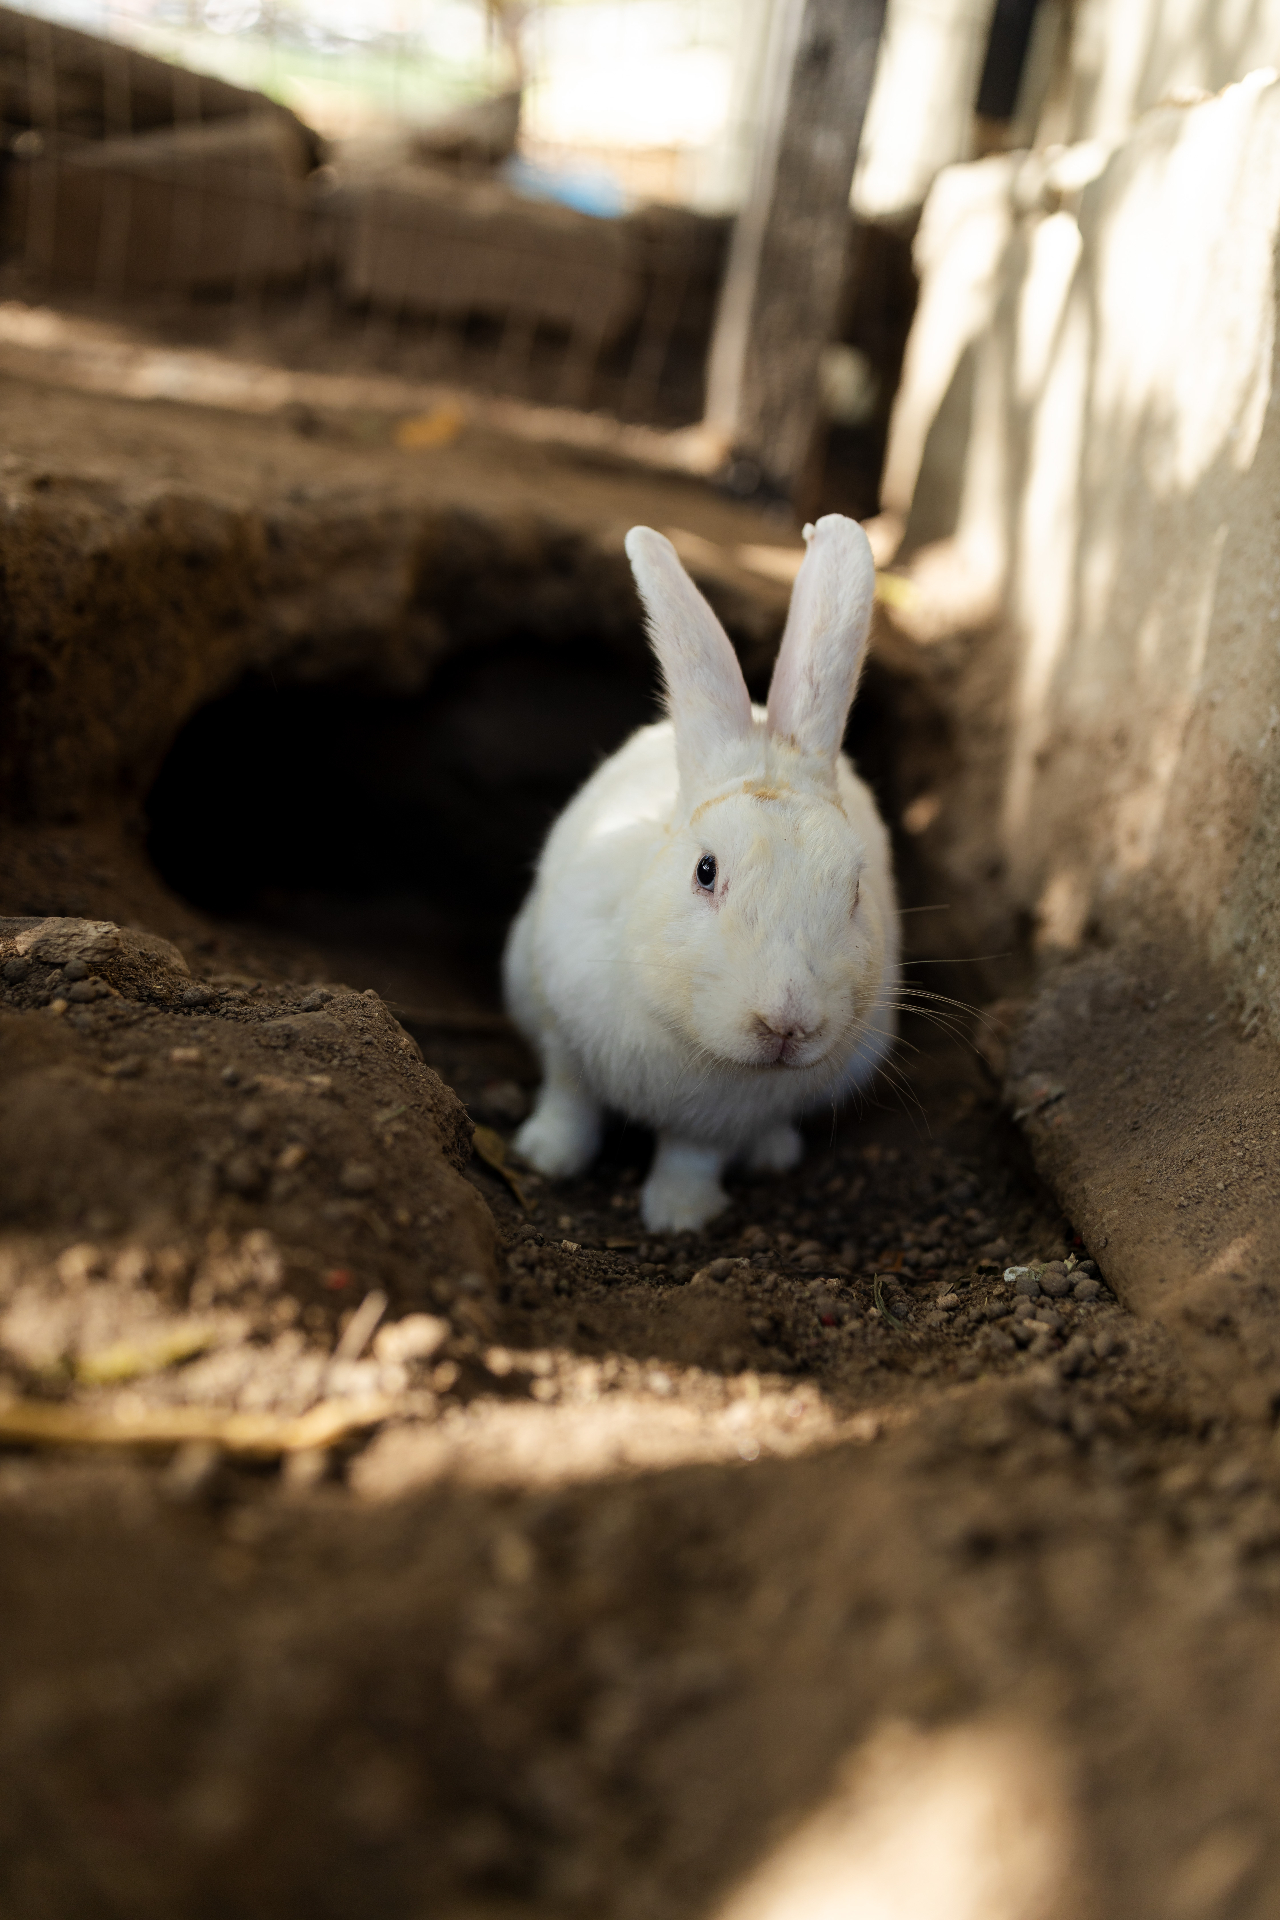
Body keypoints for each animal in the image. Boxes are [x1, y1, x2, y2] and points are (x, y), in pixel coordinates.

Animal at [502, 513, 899, 1234]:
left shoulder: (714, 1124)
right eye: (706, 871)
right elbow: (570, 1101)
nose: (787, 1024)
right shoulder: (563, 1036)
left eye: (855, 891)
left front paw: (678, 1219)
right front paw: (547, 1158)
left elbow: (691, 1157)